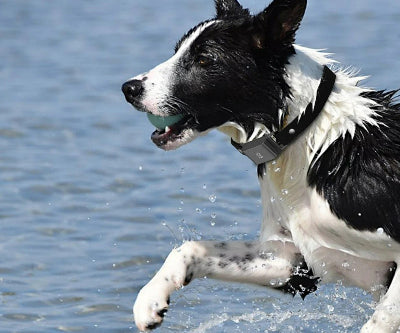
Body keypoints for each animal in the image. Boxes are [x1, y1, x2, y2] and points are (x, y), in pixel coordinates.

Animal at [121, 1, 400, 330]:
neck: (308, 135)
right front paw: (150, 299)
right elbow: (190, 248)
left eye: (204, 59)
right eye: (177, 51)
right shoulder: (290, 262)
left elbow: (379, 320)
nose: (129, 88)